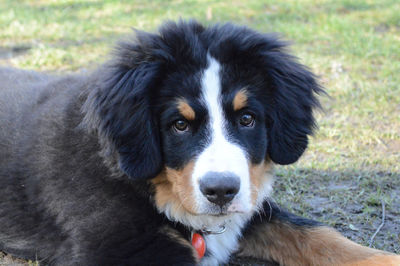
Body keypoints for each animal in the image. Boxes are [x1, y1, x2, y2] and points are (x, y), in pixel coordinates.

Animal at [0, 19, 400, 264]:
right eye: (179, 125)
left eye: (246, 119)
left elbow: (315, 233)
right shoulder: (118, 246)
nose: (221, 191)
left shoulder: (251, 200)